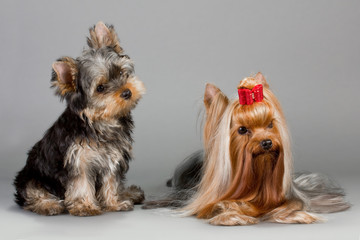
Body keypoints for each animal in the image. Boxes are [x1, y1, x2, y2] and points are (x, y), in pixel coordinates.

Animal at [13, 22, 146, 217]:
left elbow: (111, 180)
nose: (127, 92)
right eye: (100, 88)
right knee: (32, 194)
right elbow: (81, 183)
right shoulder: (78, 160)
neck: (101, 120)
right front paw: (85, 206)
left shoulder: (113, 156)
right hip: (31, 177)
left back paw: (130, 193)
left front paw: (114, 203)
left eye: (121, 72)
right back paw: (49, 204)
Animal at [143, 72, 348, 225]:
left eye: (270, 124)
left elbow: (291, 205)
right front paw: (233, 216)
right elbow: (220, 206)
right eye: (242, 130)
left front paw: (298, 215)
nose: (266, 142)